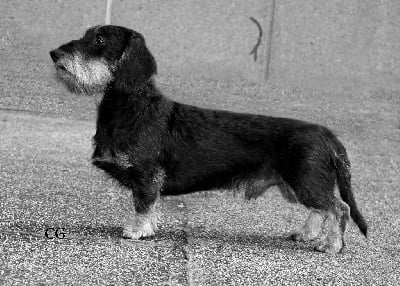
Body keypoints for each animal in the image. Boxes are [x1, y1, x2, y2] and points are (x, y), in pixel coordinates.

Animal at [48, 24, 368, 252]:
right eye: (87, 35)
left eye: (100, 40)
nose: (54, 54)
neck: (130, 106)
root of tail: (328, 135)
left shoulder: (147, 177)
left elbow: (143, 206)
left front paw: (137, 230)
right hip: (297, 185)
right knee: (320, 210)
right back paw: (306, 234)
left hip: (305, 182)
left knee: (338, 208)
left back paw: (330, 245)